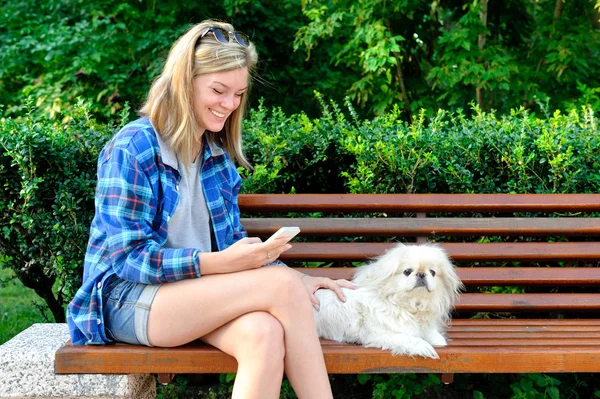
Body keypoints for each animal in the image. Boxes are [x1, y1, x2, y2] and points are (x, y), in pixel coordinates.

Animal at [314, 244, 464, 360]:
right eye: (407, 271)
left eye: (432, 272)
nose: (421, 274)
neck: (410, 306)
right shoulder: (378, 334)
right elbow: (406, 338)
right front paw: (423, 346)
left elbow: (438, 339)